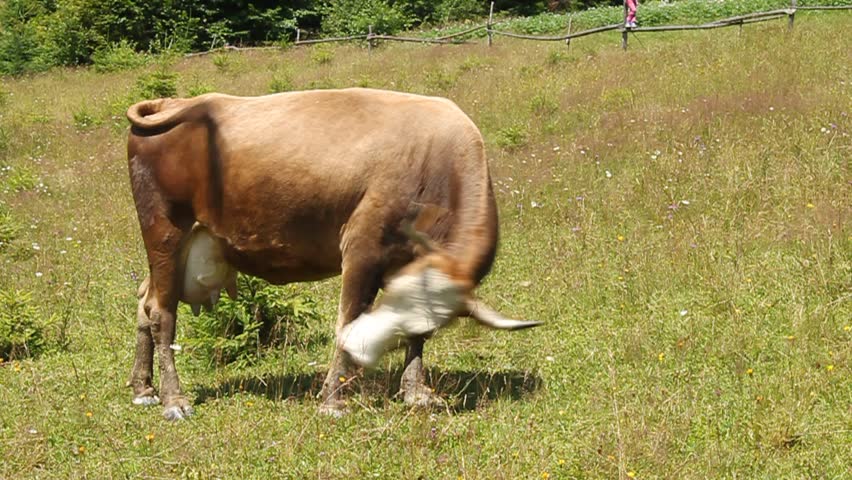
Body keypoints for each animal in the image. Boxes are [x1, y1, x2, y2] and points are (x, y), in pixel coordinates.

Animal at [126, 88, 539, 420]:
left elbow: (416, 339)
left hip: (182, 249)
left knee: (145, 301)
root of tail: (177, 103)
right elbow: (348, 318)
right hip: (164, 232)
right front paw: (333, 400)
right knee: (162, 313)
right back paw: (173, 400)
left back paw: (144, 388)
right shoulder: (362, 248)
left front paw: (415, 393)